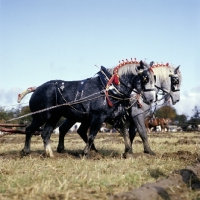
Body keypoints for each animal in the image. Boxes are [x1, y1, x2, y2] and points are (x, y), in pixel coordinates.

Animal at [21, 60, 155, 157]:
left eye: (154, 78)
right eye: (145, 78)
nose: (151, 99)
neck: (109, 89)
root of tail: (37, 88)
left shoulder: (115, 117)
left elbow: (125, 133)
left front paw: (128, 151)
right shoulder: (98, 117)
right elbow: (92, 135)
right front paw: (85, 153)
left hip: (53, 118)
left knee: (46, 133)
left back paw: (50, 154)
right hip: (41, 116)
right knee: (29, 130)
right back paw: (26, 151)